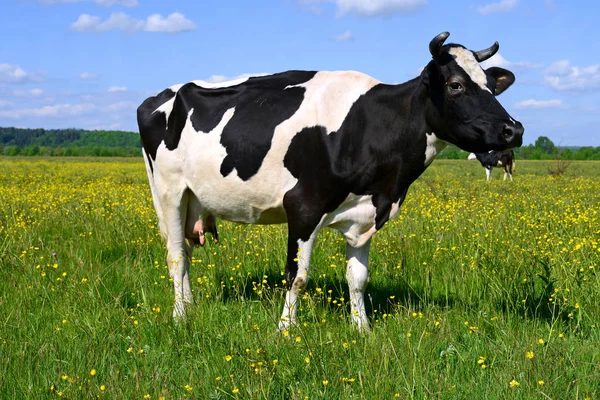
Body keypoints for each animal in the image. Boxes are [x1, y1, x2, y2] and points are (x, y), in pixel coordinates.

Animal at [138, 30, 524, 332]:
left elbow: (358, 277)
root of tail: (165, 93)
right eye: (456, 85)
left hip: (194, 199)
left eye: (491, 86)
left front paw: (362, 328)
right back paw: (179, 316)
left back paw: (190, 307)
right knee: (176, 257)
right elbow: (296, 276)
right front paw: (286, 330)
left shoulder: (367, 212)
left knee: (186, 252)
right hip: (170, 192)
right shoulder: (303, 206)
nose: (514, 129)